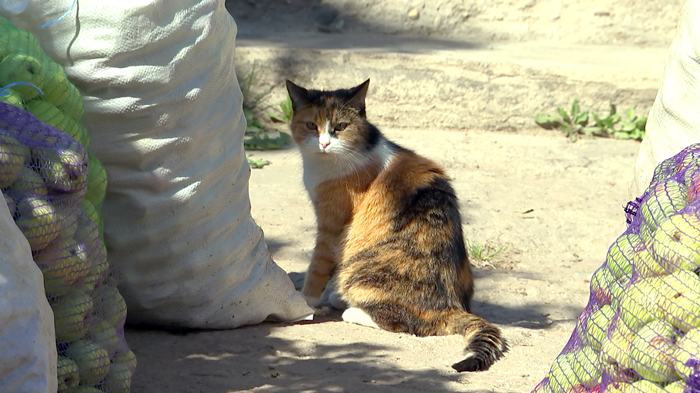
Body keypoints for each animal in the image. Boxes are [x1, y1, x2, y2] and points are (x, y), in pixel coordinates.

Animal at [284, 79, 508, 370]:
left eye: (341, 126)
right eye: (312, 125)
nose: (324, 143)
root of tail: (451, 305)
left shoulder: (332, 225)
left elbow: (318, 268)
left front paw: (305, 302)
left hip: (362, 271)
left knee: (412, 325)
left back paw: (352, 309)